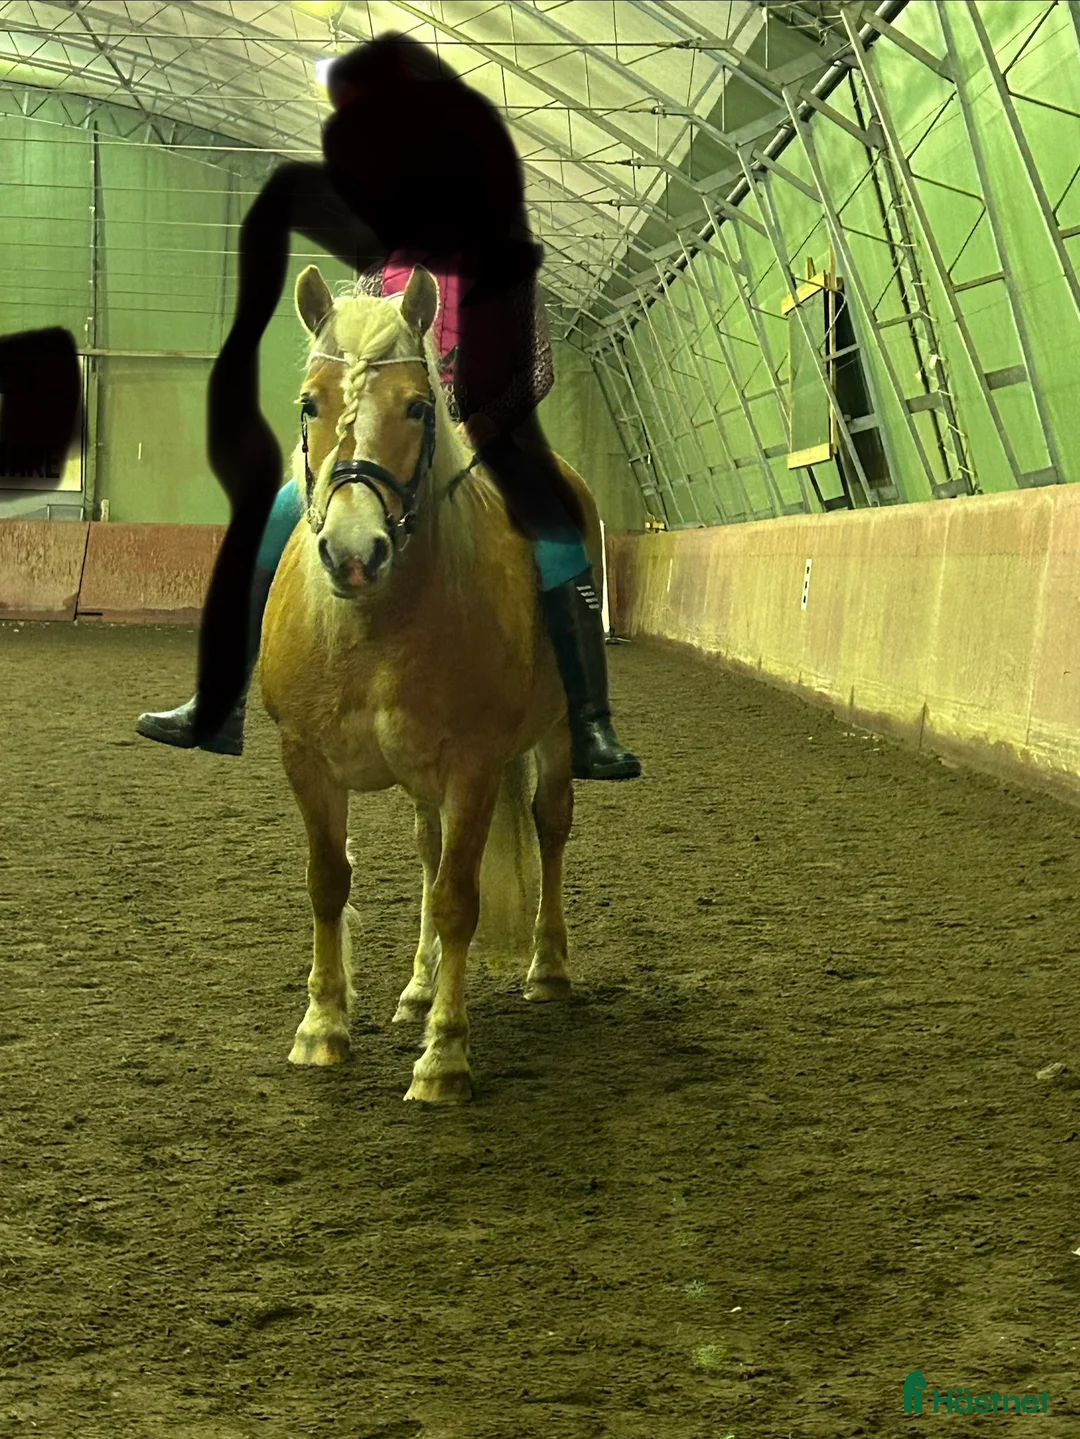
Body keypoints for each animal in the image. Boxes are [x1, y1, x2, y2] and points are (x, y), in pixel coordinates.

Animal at [258, 263, 603, 1103]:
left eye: (417, 406)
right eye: (310, 403)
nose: (354, 553)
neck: (373, 626)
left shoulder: (474, 765)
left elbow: (456, 900)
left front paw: (445, 1055)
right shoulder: (305, 759)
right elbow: (328, 881)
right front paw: (323, 1027)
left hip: (552, 738)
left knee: (550, 826)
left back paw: (547, 968)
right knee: (426, 846)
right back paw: (416, 988)